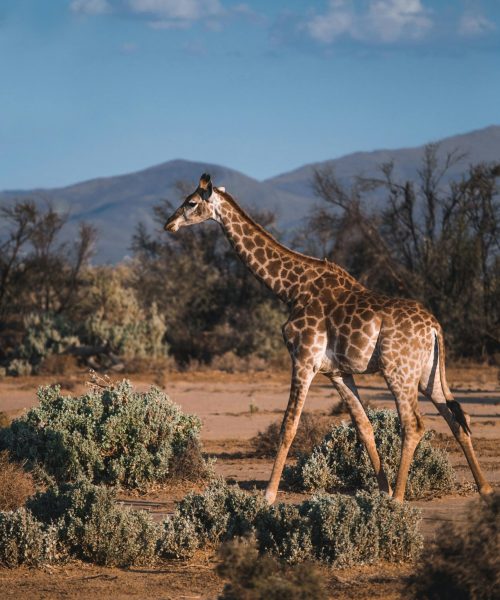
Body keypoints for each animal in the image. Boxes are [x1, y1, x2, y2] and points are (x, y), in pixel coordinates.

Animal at [163, 173, 492, 506]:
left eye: (191, 202)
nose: (169, 224)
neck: (290, 289)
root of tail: (435, 328)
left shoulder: (304, 360)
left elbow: (289, 426)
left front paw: (268, 495)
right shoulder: (337, 372)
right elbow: (364, 427)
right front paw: (381, 490)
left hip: (398, 371)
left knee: (414, 424)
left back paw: (400, 500)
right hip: (427, 375)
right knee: (456, 418)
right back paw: (484, 490)